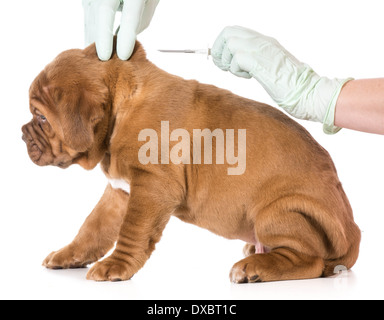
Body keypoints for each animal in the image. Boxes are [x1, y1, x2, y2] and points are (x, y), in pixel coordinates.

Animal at [21, 42, 362, 282]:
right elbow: (92, 228)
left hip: (275, 210)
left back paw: (254, 267)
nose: (22, 134)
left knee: (310, 260)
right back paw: (255, 252)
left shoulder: (152, 188)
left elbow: (132, 231)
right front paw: (70, 255)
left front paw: (116, 266)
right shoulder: (121, 192)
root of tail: (352, 234)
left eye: (41, 117)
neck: (123, 104)